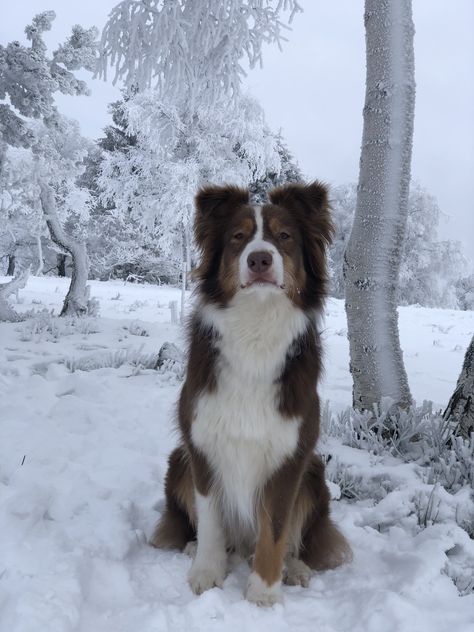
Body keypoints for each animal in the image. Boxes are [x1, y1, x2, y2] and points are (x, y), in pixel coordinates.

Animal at [152, 180, 352, 604]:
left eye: (285, 236)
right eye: (238, 237)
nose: (260, 259)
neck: (255, 328)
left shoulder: (290, 455)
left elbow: (275, 528)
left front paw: (263, 591)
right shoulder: (202, 443)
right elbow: (211, 518)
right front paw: (207, 572)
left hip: (314, 472)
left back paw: (294, 567)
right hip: (178, 459)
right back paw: (195, 547)